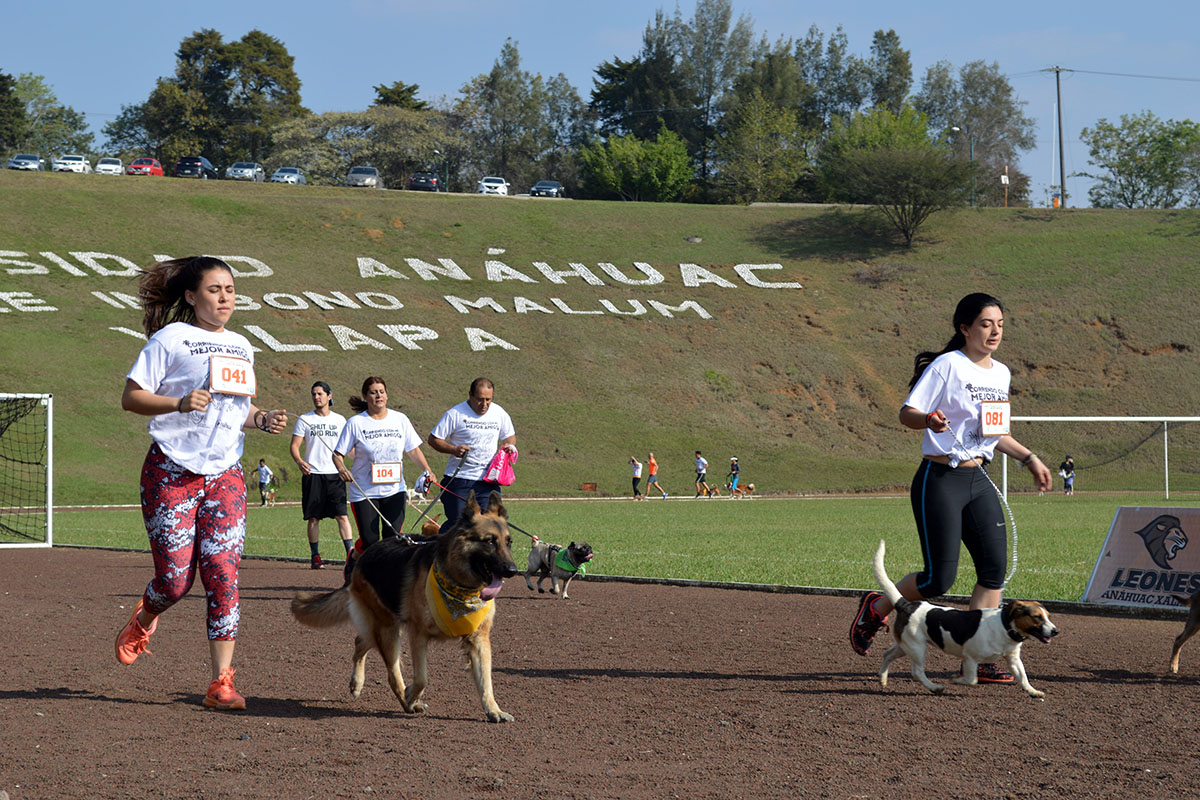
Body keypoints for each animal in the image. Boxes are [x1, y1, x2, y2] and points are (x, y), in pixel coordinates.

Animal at [291, 491, 520, 724]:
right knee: (391, 674)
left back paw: (357, 683)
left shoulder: (479, 639)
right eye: (489, 541)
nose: (512, 570)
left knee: (360, 643)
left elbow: (486, 681)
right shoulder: (418, 635)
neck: (458, 584)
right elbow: (421, 678)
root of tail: (365, 555)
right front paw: (411, 695)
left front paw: (493, 710)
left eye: (509, 542)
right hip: (388, 632)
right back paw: (404, 700)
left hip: (383, 629)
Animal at [873, 537, 1060, 700]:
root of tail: (906, 604)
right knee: (917, 672)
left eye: (1048, 616)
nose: (1056, 631)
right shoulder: (970, 657)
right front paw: (956, 679)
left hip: (905, 645)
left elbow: (1023, 677)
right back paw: (935, 687)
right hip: (917, 647)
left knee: (887, 654)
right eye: (1036, 617)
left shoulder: (1013, 658)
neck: (1004, 627)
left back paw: (883, 679)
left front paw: (1033, 691)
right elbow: (972, 680)